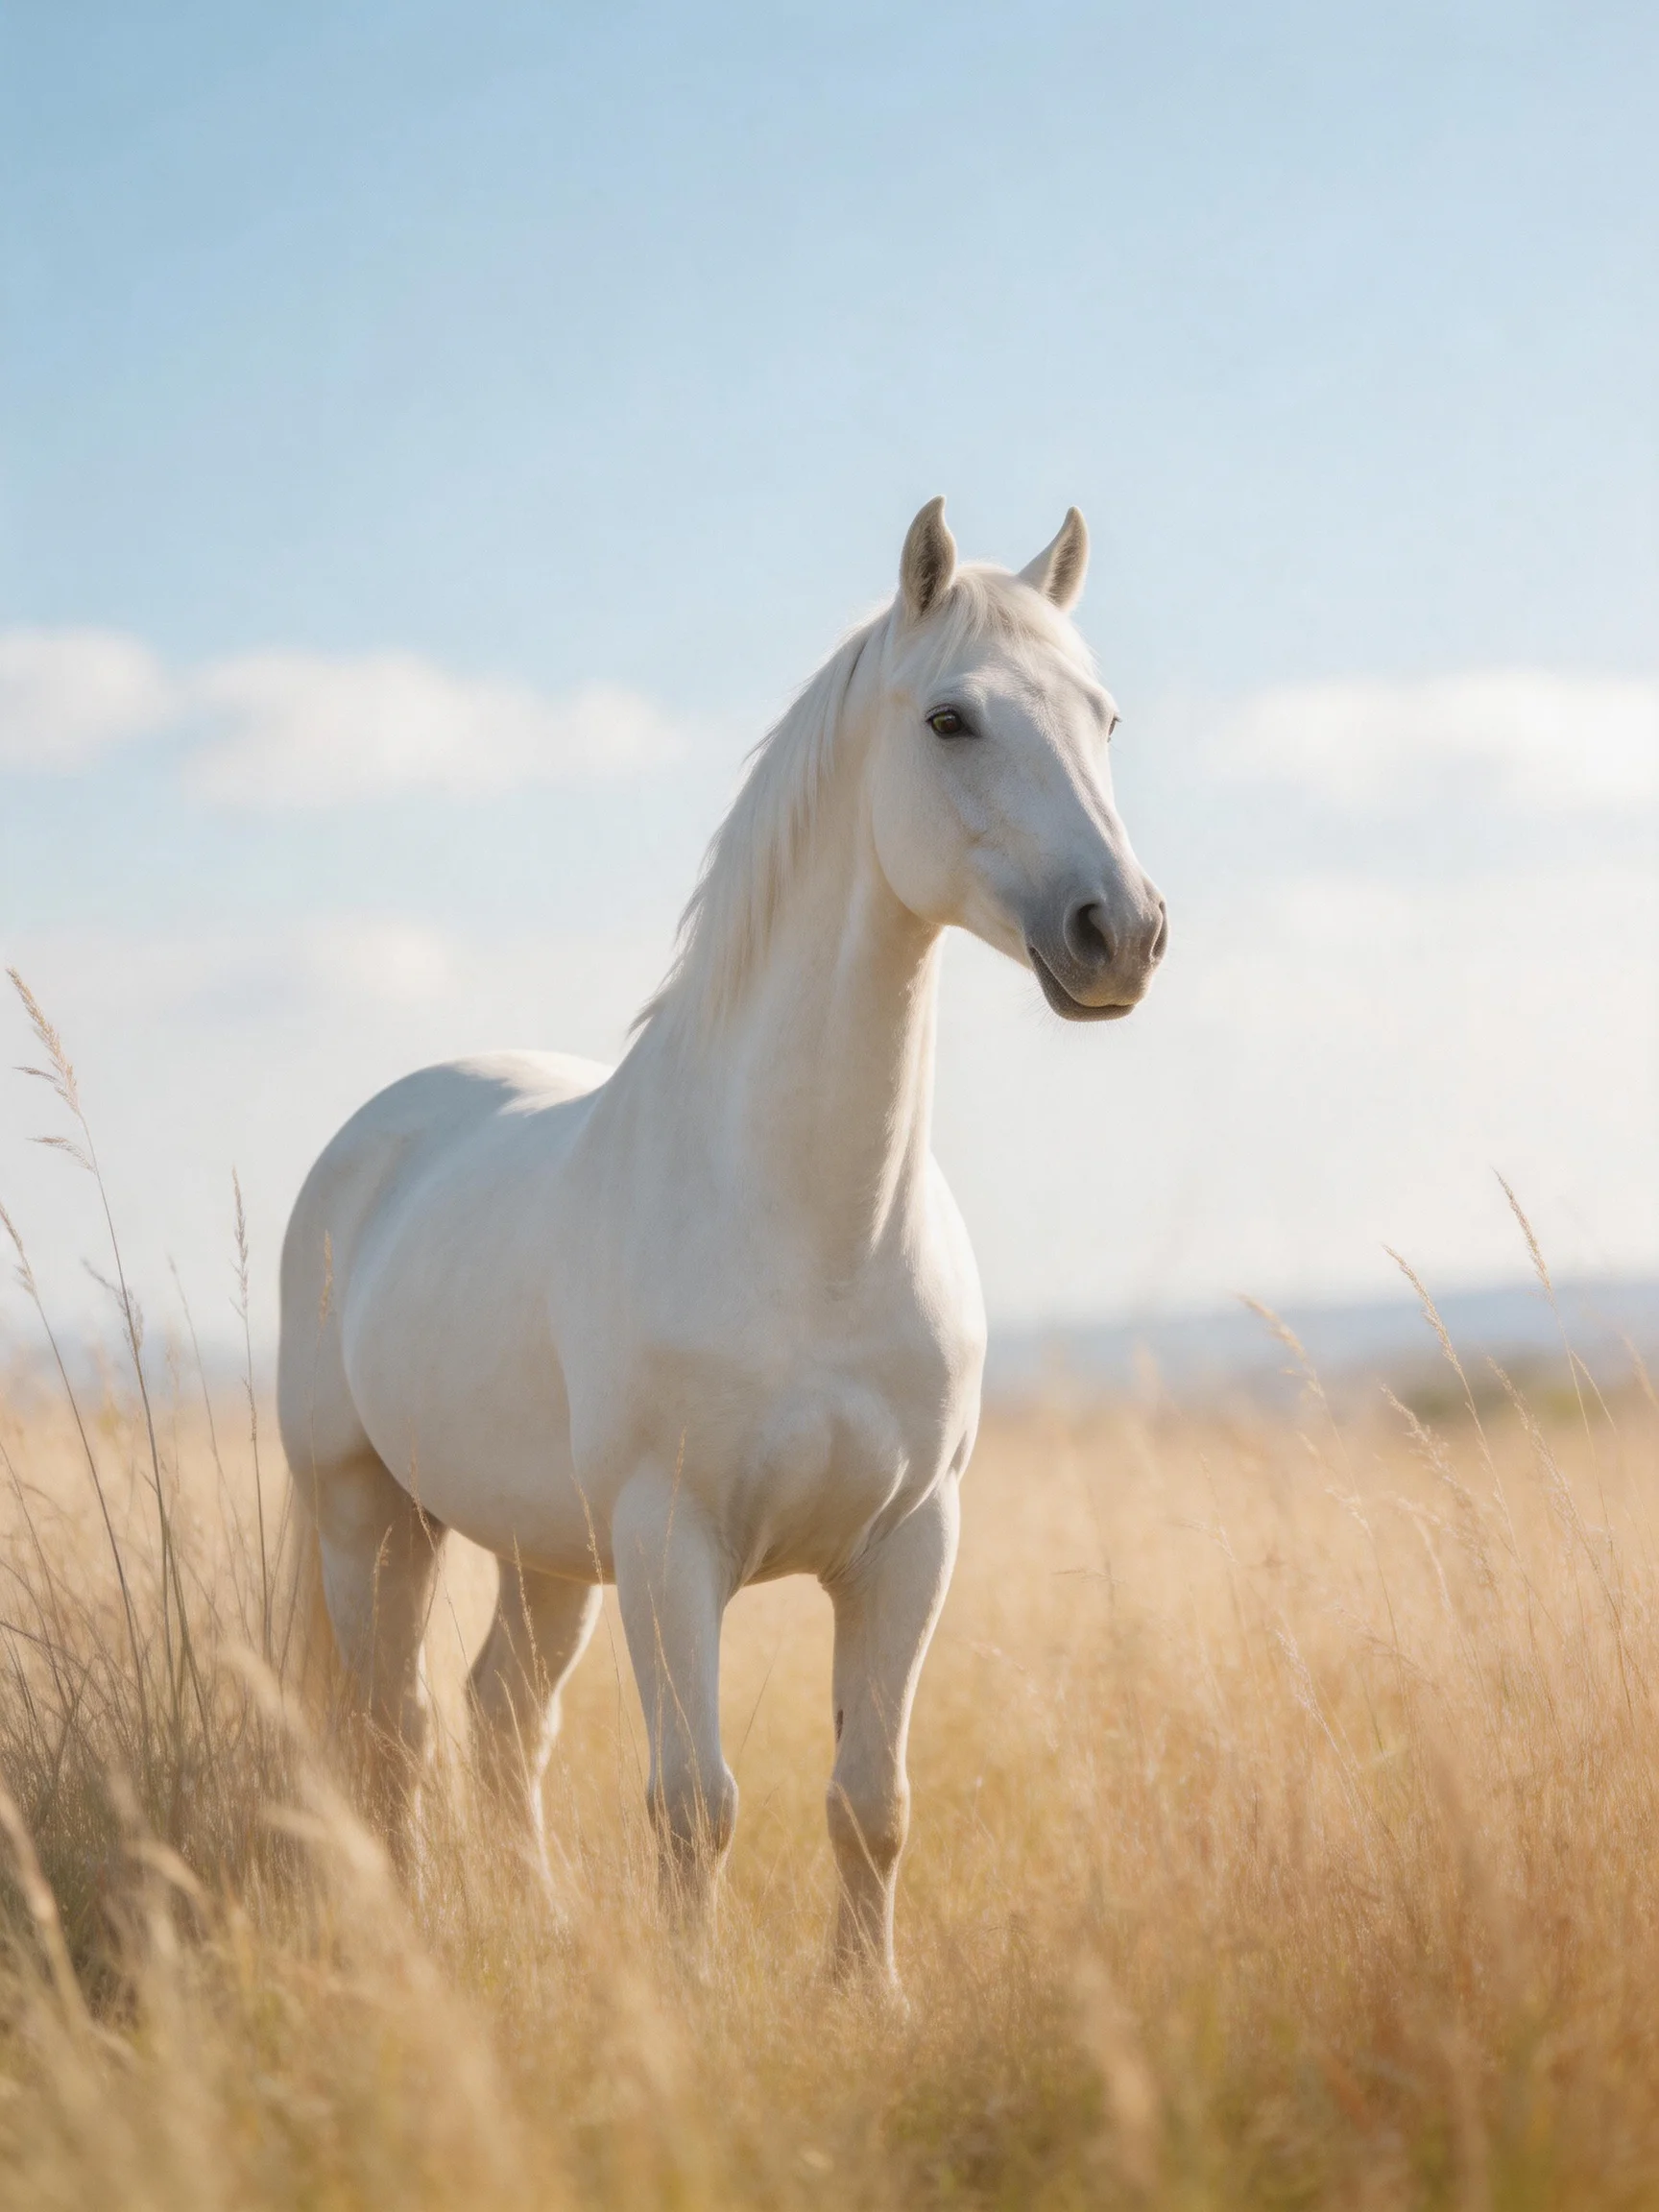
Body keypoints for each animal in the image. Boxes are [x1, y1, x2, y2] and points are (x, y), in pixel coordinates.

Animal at [275, 497, 1166, 1985]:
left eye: (1103, 717)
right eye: (951, 719)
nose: (1123, 933)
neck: (811, 1227)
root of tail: (374, 1137)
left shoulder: (909, 1545)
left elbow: (871, 1801)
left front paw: (871, 1997)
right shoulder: (672, 1542)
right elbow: (695, 1803)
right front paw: (695, 1998)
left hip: (544, 1550)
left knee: (500, 1719)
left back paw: (542, 1928)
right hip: (371, 1518)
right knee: (393, 1732)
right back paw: (412, 1949)